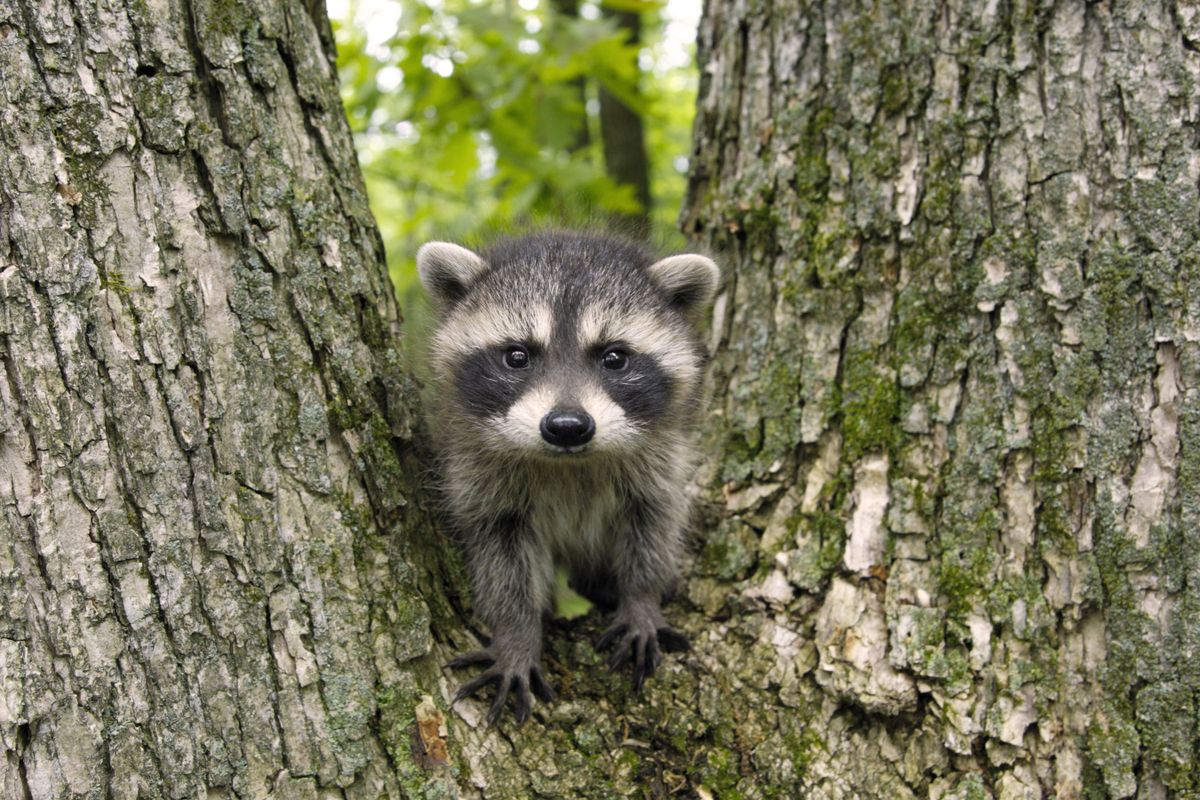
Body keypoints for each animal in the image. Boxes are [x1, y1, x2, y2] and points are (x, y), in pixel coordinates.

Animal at [420, 230, 720, 724]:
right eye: (517, 356)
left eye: (614, 358)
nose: (566, 426)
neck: (568, 462)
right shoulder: (478, 475)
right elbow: (502, 558)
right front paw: (516, 633)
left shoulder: (660, 459)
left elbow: (654, 523)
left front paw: (641, 598)